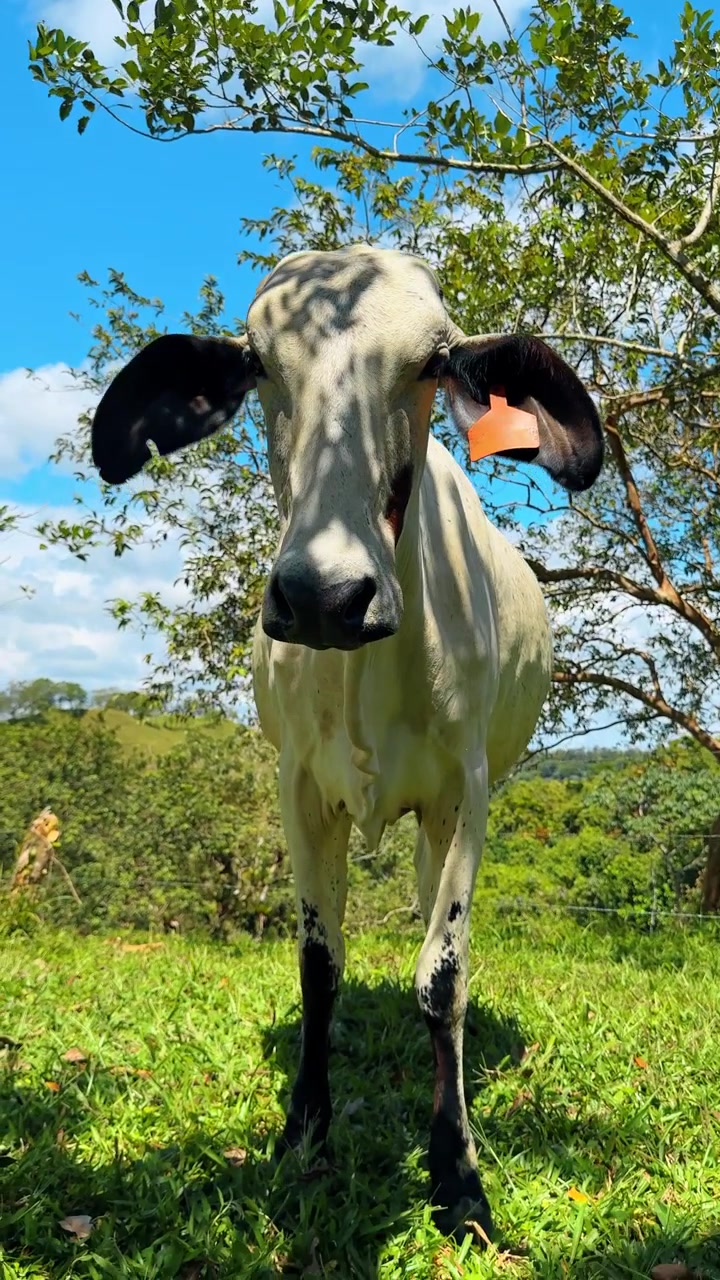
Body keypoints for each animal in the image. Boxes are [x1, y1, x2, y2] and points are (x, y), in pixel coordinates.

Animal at [90, 245, 603, 1242]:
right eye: (258, 365)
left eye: (433, 362)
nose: (325, 596)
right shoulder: (299, 791)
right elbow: (318, 966)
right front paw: (303, 1135)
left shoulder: (466, 796)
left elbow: (442, 973)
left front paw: (457, 1170)